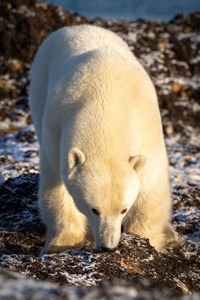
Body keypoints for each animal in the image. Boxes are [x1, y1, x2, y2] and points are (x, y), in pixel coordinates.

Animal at [30, 24, 178, 254]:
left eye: (124, 210)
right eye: (94, 210)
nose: (108, 247)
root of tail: (76, 26)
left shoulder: (147, 123)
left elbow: (151, 183)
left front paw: (149, 239)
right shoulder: (55, 127)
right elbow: (56, 185)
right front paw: (60, 244)